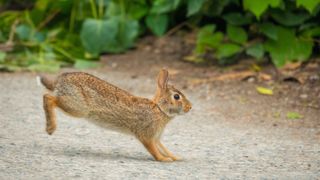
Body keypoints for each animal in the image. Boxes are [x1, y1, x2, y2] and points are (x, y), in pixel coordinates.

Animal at [39, 69, 191, 162]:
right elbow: (154, 150)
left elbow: (163, 148)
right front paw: (164, 160)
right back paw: (50, 128)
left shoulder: (156, 137)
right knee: (48, 98)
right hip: (77, 107)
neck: (159, 109)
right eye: (176, 97)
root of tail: (59, 81)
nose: (190, 107)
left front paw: (175, 157)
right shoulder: (147, 135)